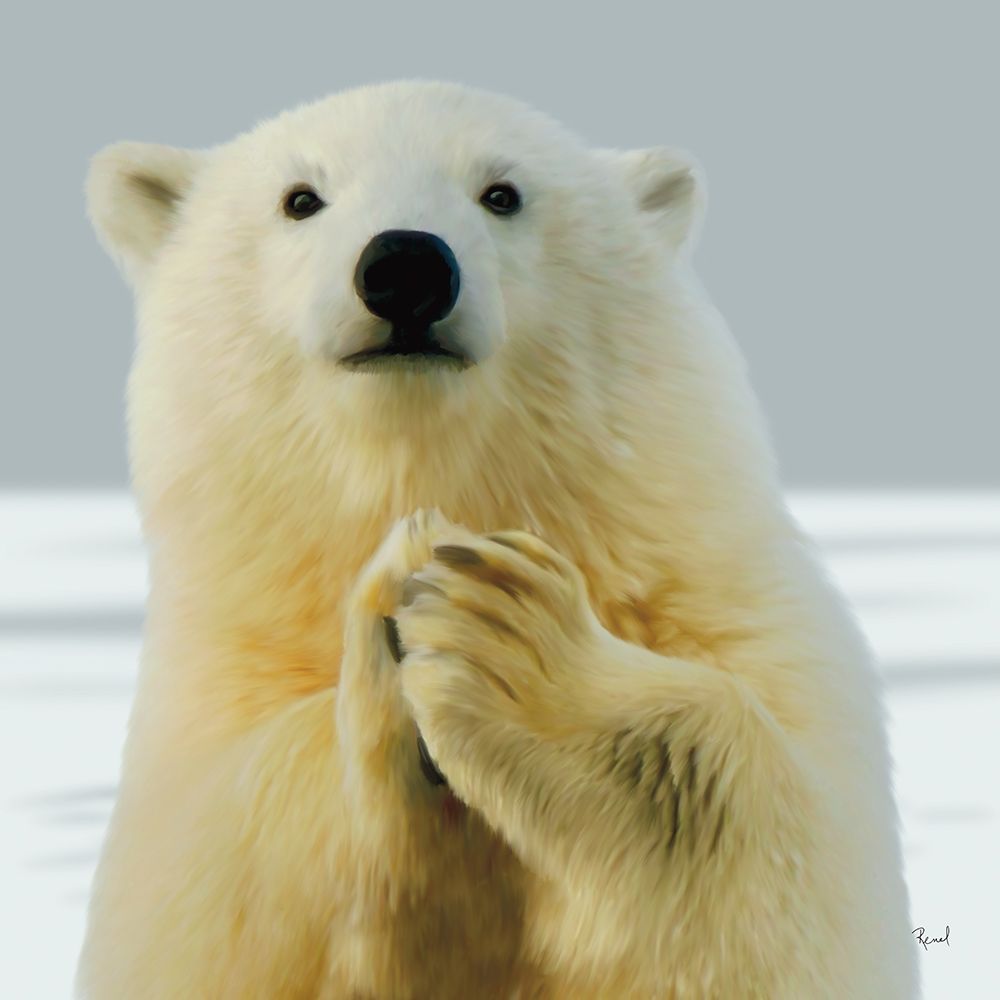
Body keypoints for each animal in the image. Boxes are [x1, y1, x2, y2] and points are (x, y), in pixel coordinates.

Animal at [76, 79, 919, 998]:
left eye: (503, 193)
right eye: (300, 198)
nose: (405, 265)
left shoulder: (737, 618)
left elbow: (791, 878)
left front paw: (512, 643)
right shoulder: (219, 672)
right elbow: (208, 883)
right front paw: (394, 622)